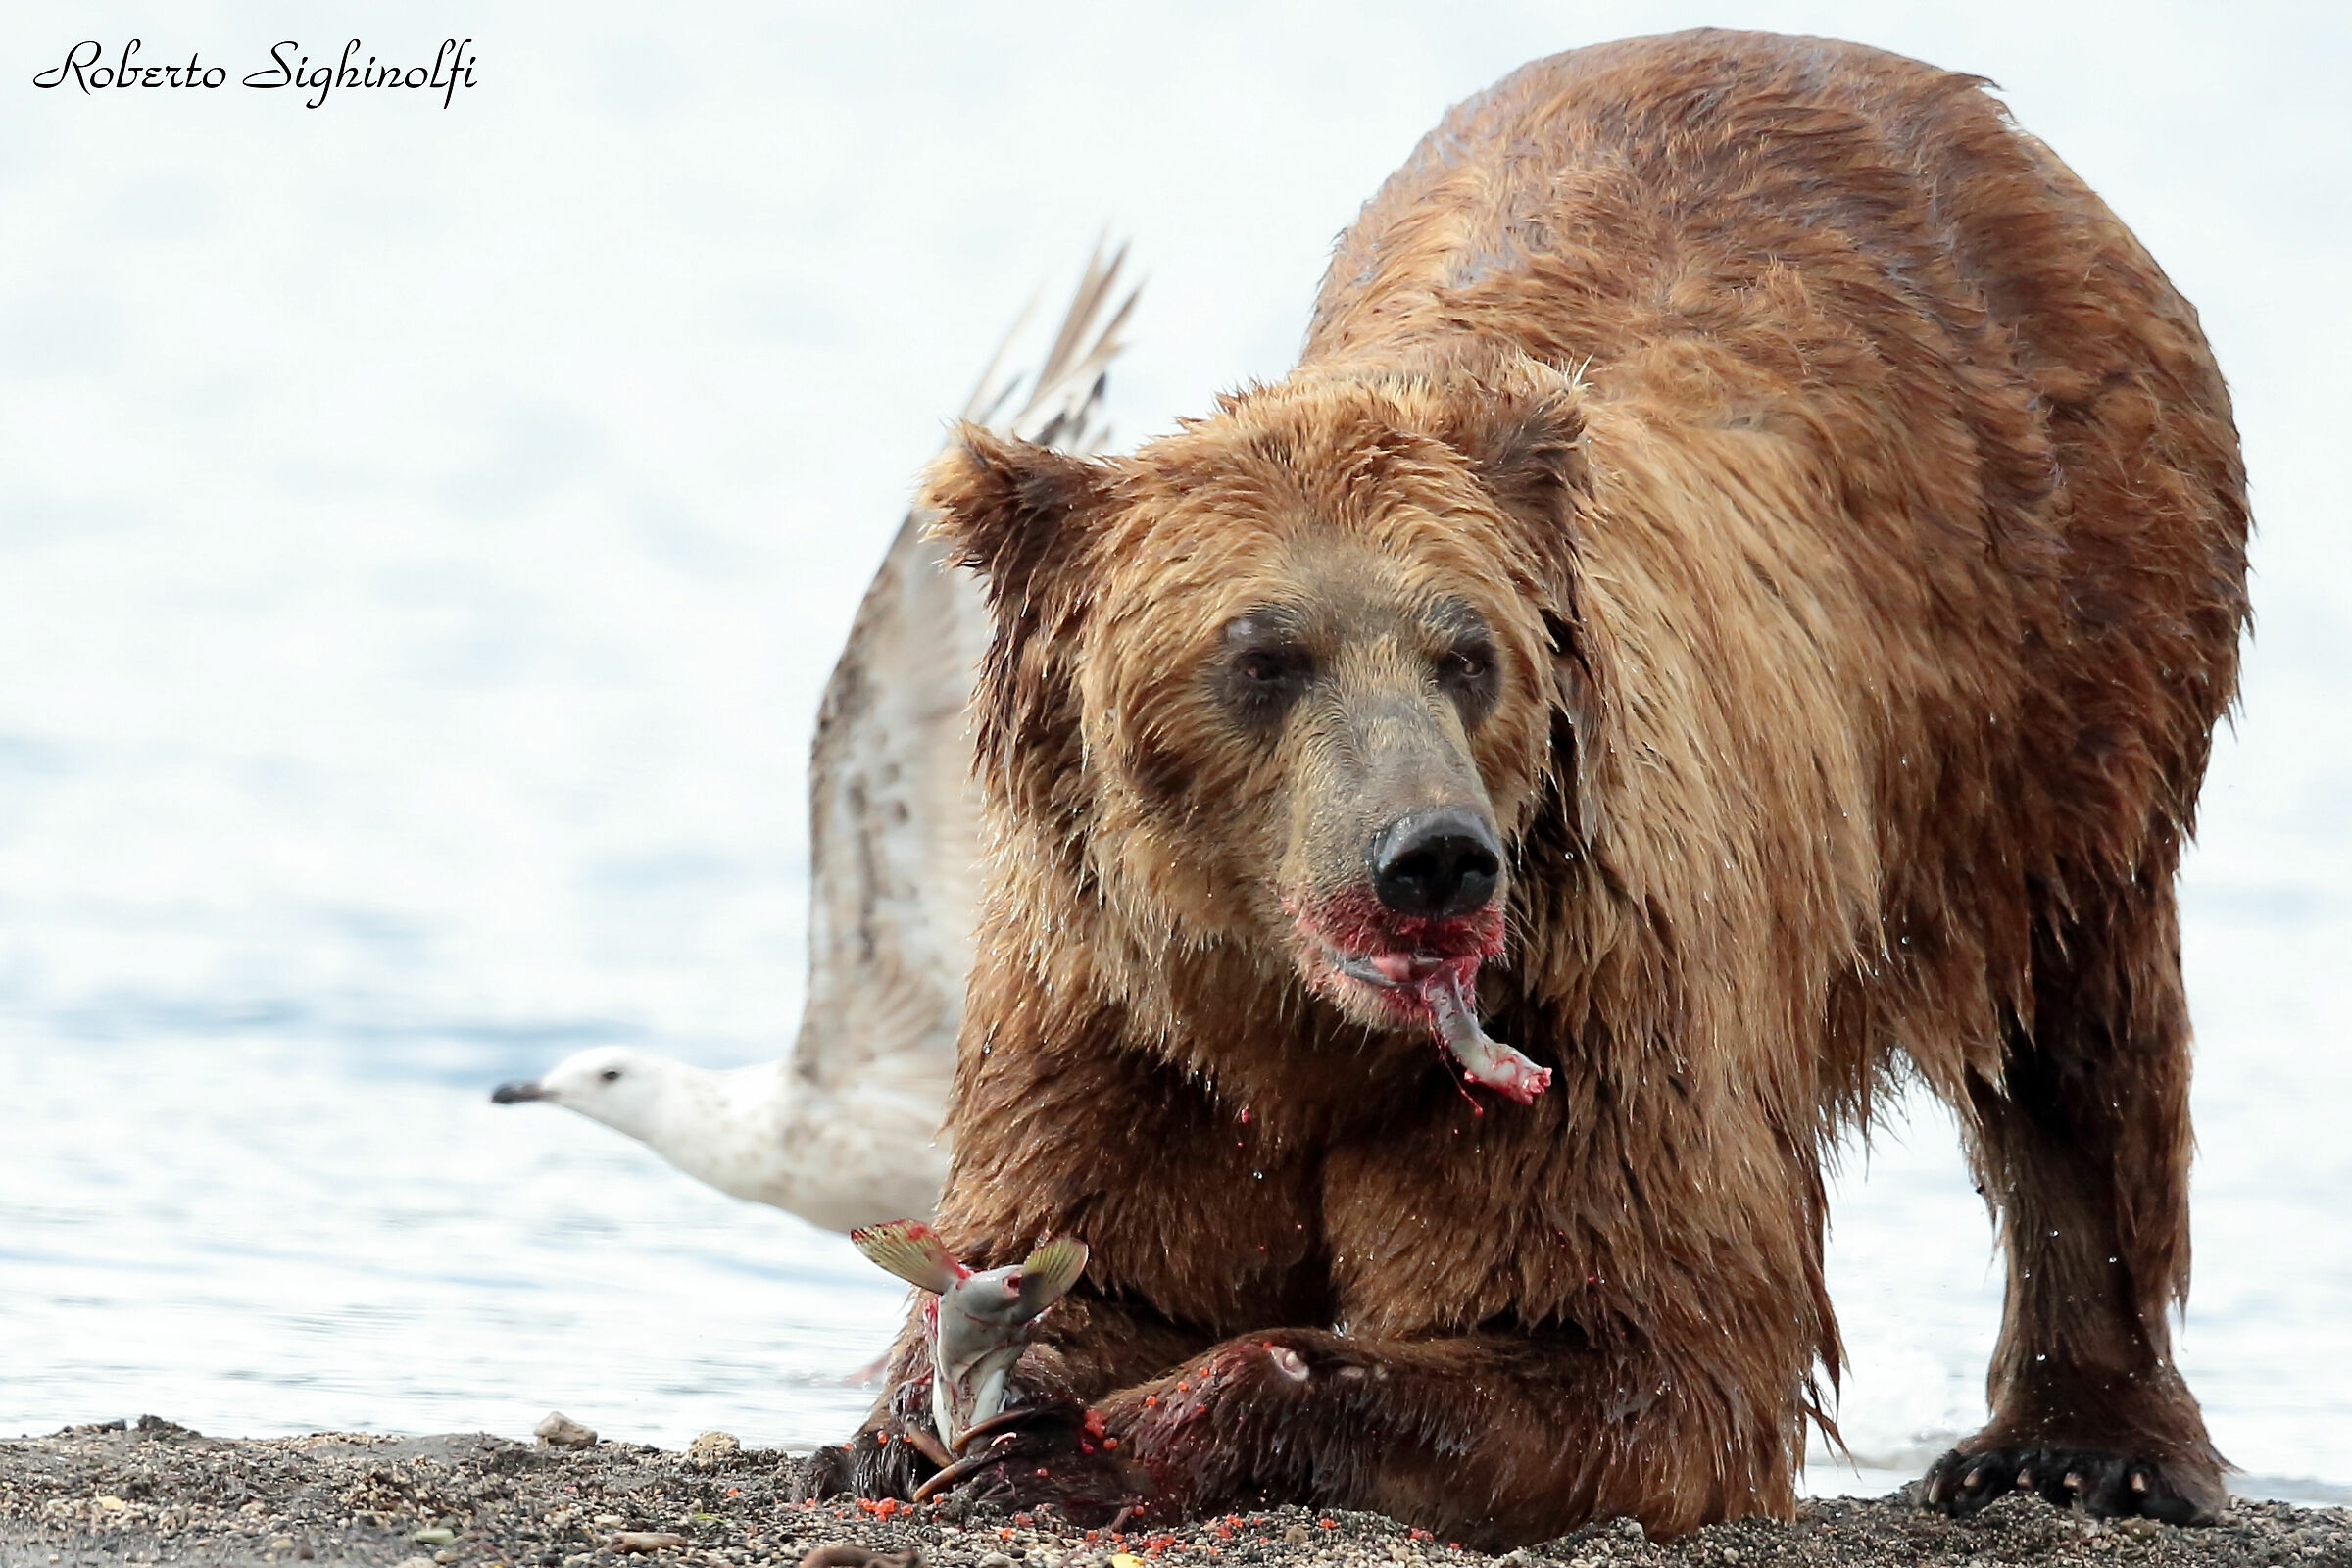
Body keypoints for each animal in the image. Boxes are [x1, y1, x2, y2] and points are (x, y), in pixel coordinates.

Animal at [810, 28, 2249, 1547]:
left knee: (2076, 1027)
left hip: (2060, 662)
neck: (1303, 1032)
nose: (1431, 856)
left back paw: (2080, 1444)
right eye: (1262, 657)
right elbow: (1097, 1246)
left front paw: (1092, 1444)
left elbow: (1631, 1349)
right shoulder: (1115, 1012)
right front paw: (917, 1418)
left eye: (1467, 651)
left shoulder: (1600, 992)